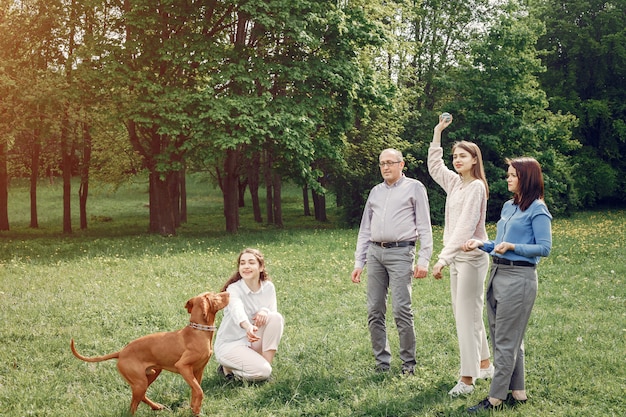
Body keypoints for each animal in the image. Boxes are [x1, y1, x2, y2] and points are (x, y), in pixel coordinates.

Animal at [71, 290, 227, 414]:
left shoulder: (198, 370)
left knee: (141, 396)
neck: (198, 332)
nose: (228, 293)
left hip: (151, 375)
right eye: (215, 296)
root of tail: (121, 352)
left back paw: (156, 407)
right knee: (132, 407)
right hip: (140, 382)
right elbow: (199, 391)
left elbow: (195, 392)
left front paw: (194, 410)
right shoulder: (183, 367)